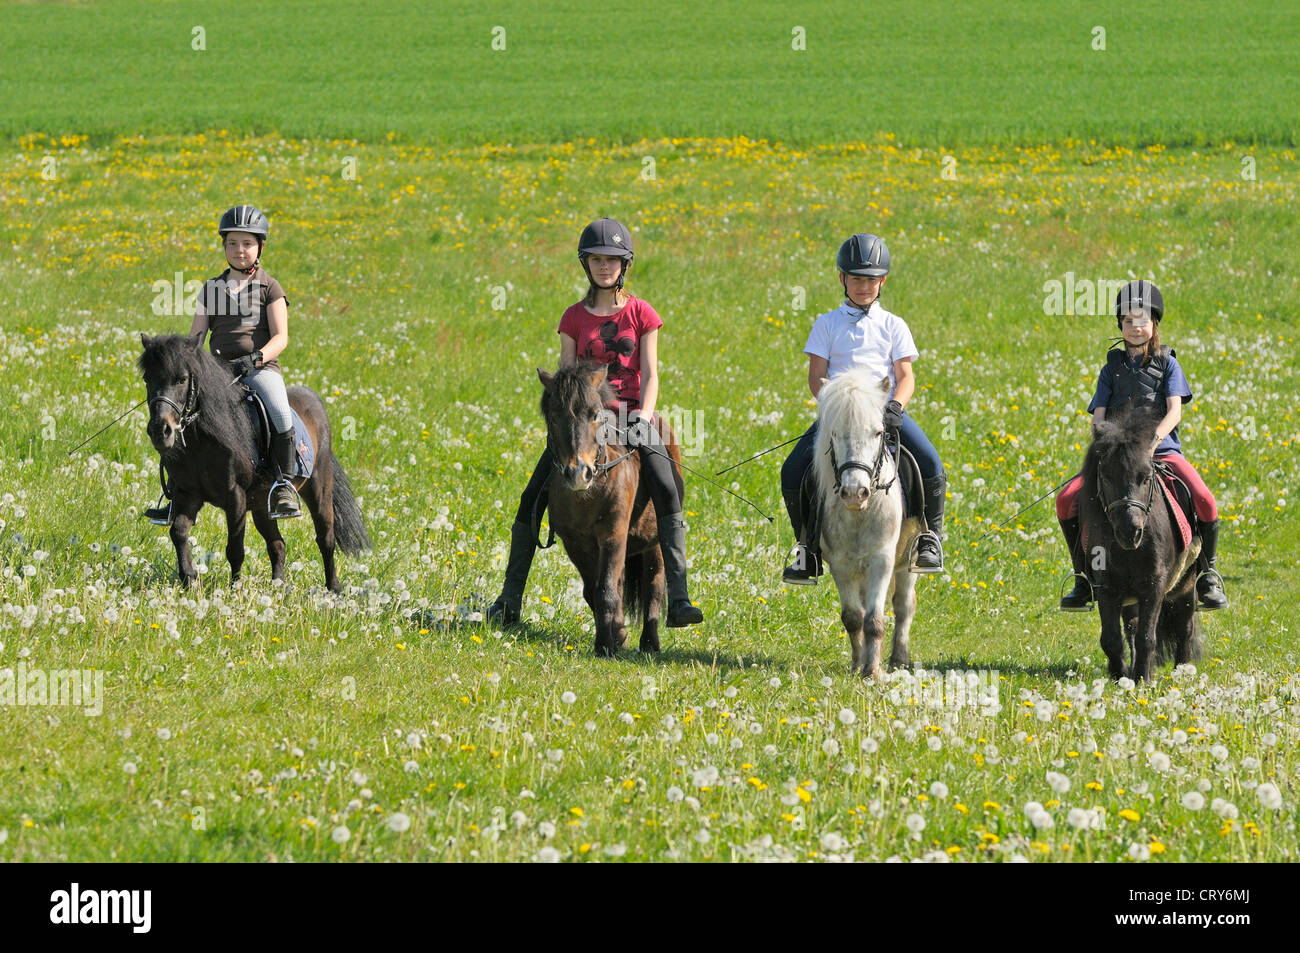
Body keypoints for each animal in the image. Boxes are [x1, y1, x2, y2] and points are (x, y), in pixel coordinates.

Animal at [138, 332, 371, 587]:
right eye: (147, 379)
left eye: (181, 379)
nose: (160, 431)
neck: (204, 439)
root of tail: (315, 401)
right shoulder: (188, 494)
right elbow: (178, 532)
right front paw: (189, 577)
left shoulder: (235, 495)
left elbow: (235, 549)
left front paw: (234, 588)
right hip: (262, 505)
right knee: (278, 544)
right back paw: (278, 586)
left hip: (319, 490)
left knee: (325, 540)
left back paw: (333, 589)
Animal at [535, 361, 686, 657]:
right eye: (554, 417)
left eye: (595, 415)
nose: (578, 473)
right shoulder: (576, 544)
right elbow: (595, 591)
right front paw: (616, 635)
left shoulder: (613, 535)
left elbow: (605, 590)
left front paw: (605, 645)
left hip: (654, 544)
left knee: (653, 587)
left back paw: (650, 643)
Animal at [811, 371, 925, 676]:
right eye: (834, 434)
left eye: (877, 432)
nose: (854, 492)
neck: (859, 514)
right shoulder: (840, 564)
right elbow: (854, 617)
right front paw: (857, 666)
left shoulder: (882, 561)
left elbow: (875, 620)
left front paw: (872, 672)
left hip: (908, 559)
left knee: (903, 606)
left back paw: (899, 659)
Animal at [1081, 405, 1201, 681]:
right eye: (1106, 476)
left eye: (1146, 477)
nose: (1130, 531)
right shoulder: (1107, 588)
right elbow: (1112, 639)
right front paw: (1121, 676)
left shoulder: (1154, 586)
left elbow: (1147, 637)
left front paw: (1143, 679)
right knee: (1131, 628)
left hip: (1186, 585)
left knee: (1185, 628)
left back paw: (1182, 672)